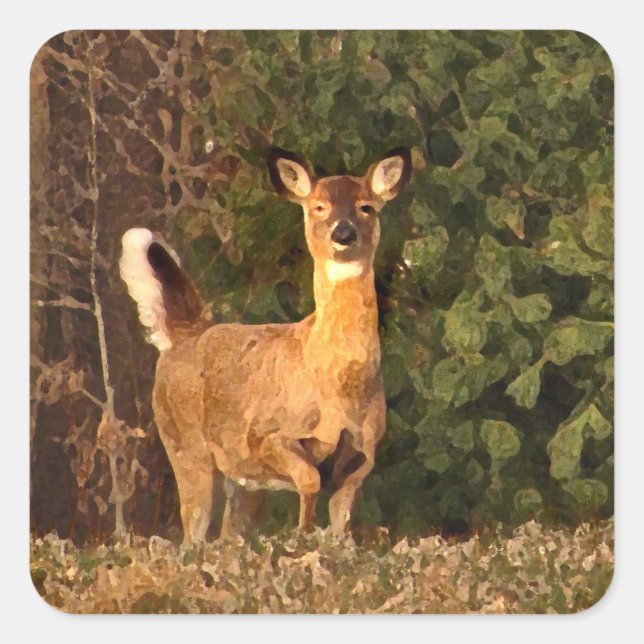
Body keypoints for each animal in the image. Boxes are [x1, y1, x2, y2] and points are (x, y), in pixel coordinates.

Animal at [119, 146, 411, 545]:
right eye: (319, 207)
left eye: (366, 206)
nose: (344, 232)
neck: (336, 385)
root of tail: (187, 332)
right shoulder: (264, 433)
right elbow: (309, 479)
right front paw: (302, 535)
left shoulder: (362, 454)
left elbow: (341, 521)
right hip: (184, 444)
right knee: (192, 533)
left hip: (236, 476)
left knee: (228, 531)